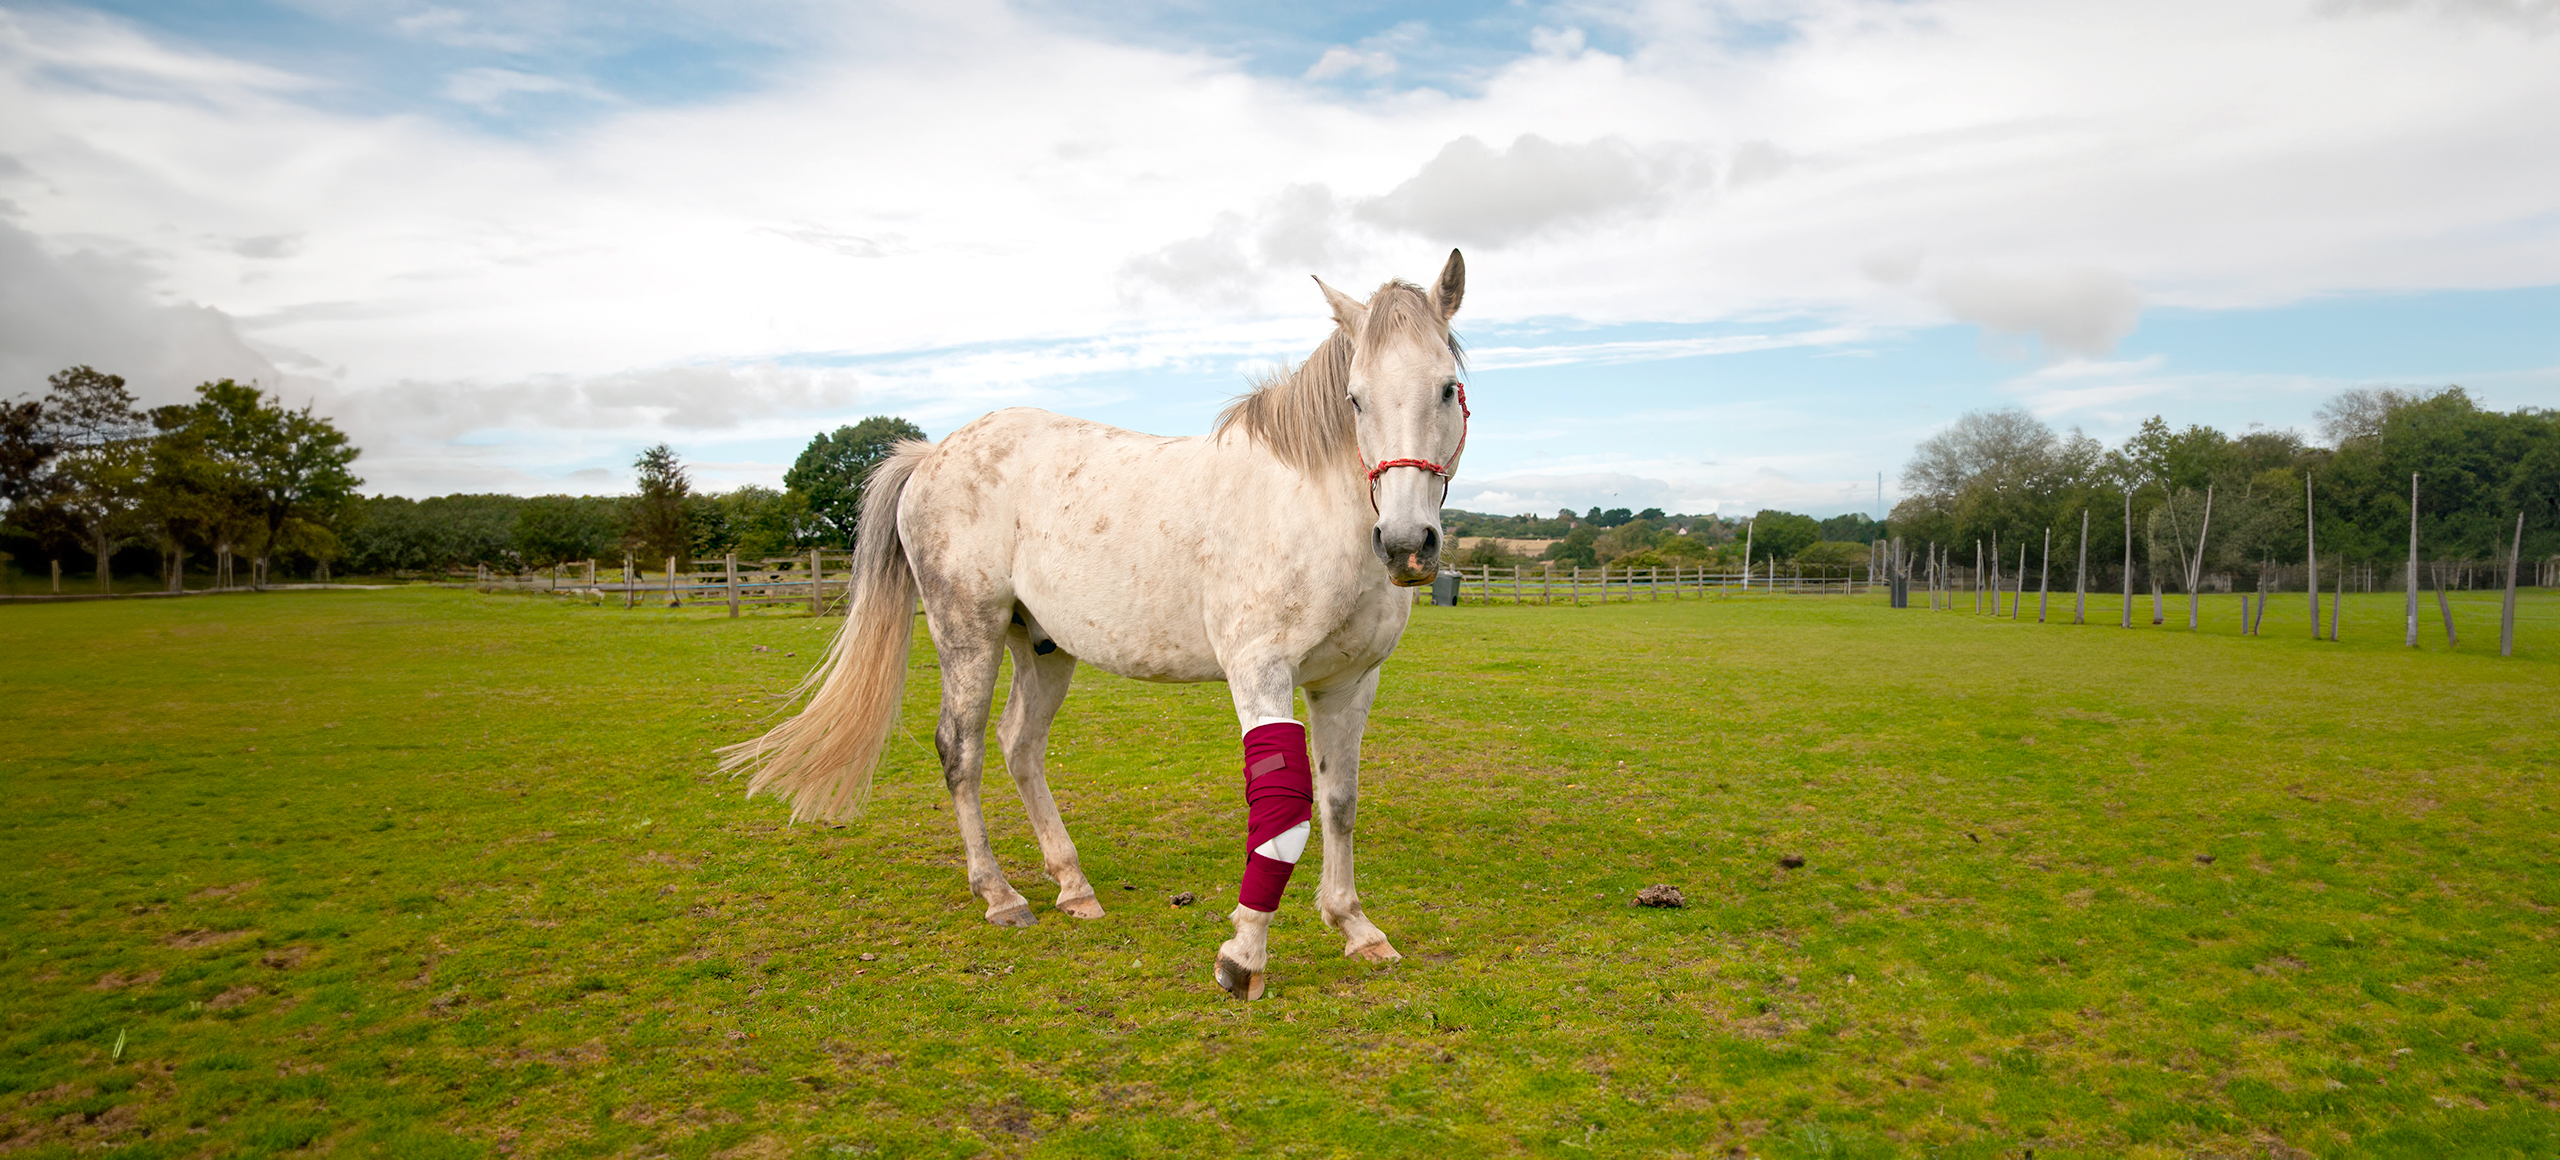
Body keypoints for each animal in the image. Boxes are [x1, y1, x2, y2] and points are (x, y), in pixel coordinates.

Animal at [732, 245, 1474, 993]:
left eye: (1446, 388)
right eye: (1355, 398)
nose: (1405, 544)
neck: (1312, 507)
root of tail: (932, 454)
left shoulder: (1348, 683)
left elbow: (1338, 801)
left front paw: (1354, 925)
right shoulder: (1259, 671)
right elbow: (1284, 810)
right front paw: (1243, 957)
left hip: (1042, 647)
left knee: (1019, 745)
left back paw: (1073, 885)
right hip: (966, 635)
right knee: (961, 750)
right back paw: (1000, 895)